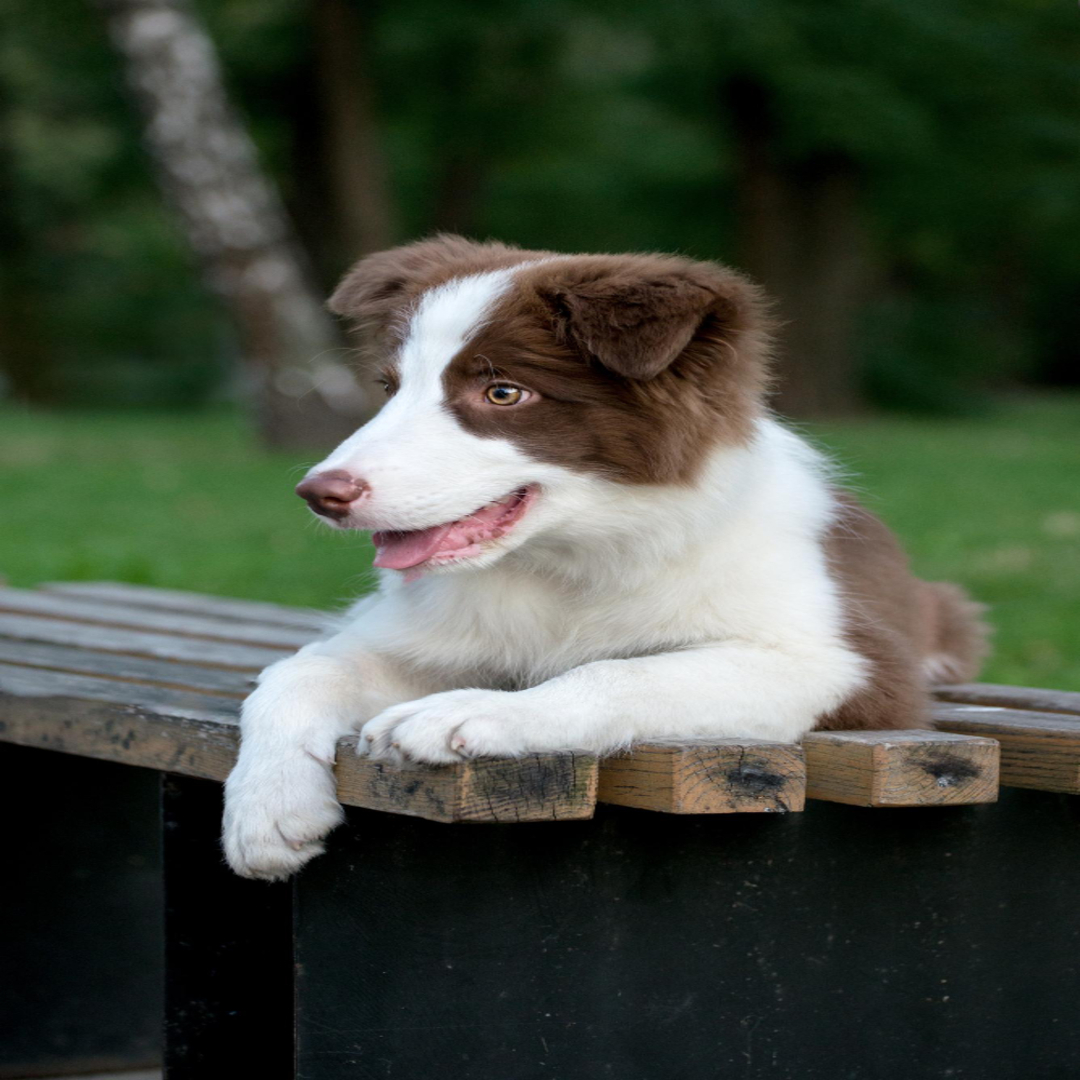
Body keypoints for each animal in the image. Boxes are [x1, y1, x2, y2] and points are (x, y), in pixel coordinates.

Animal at [219, 234, 989, 876]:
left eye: (503, 391)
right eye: (389, 388)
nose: (319, 494)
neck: (571, 563)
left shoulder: (846, 664)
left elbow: (619, 673)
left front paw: (462, 713)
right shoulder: (429, 634)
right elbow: (294, 672)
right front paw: (267, 811)